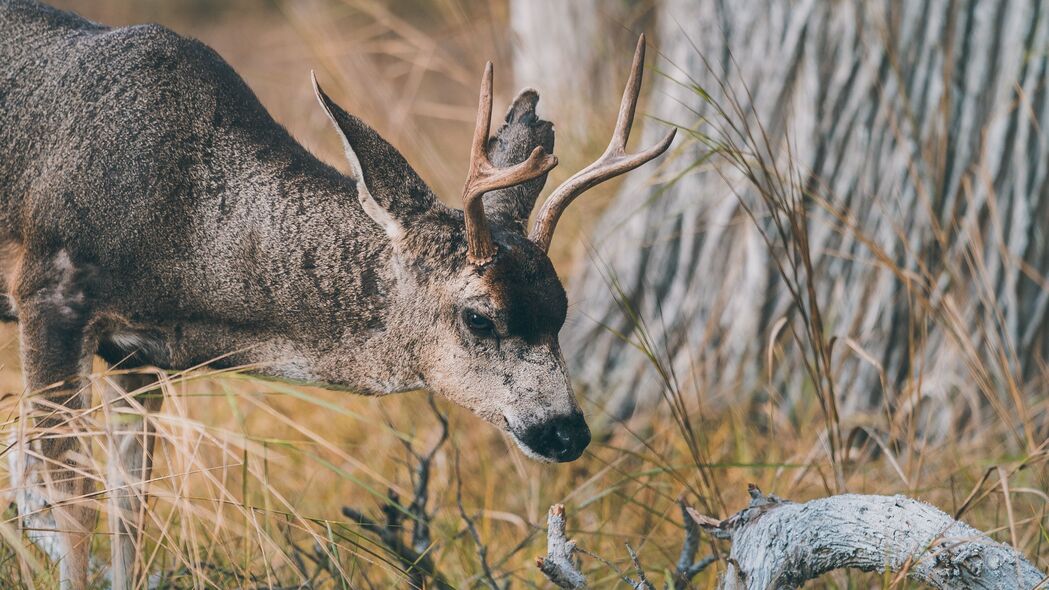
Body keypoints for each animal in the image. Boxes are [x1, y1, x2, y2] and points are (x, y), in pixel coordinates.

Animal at [0, 2, 671, 583]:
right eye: (480, 317)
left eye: (562, 311)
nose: (568, 431)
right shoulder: (49, 292)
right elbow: (62, 495)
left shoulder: (135, 353)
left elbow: (130, 507)